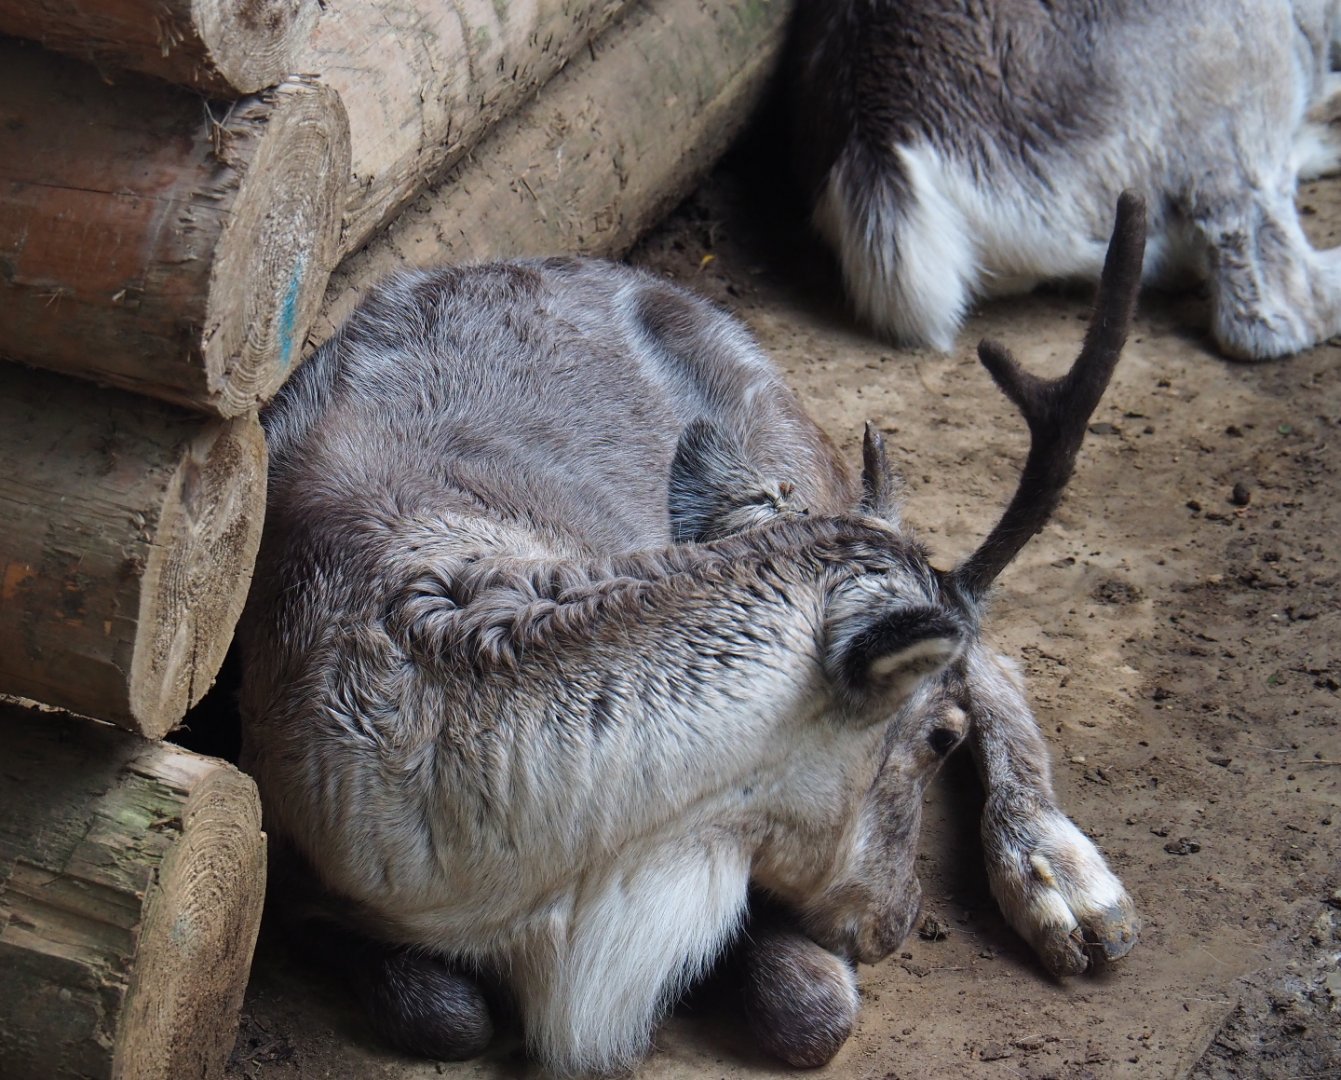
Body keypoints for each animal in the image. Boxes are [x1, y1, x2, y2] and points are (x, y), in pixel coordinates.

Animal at [236, 194, 1147, 1073]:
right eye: (935, 739)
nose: (892, 926)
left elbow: (810, 1012)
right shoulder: (297, 877)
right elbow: (447, 1015)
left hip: (796, 452)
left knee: (995, 657)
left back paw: (1064, 883)